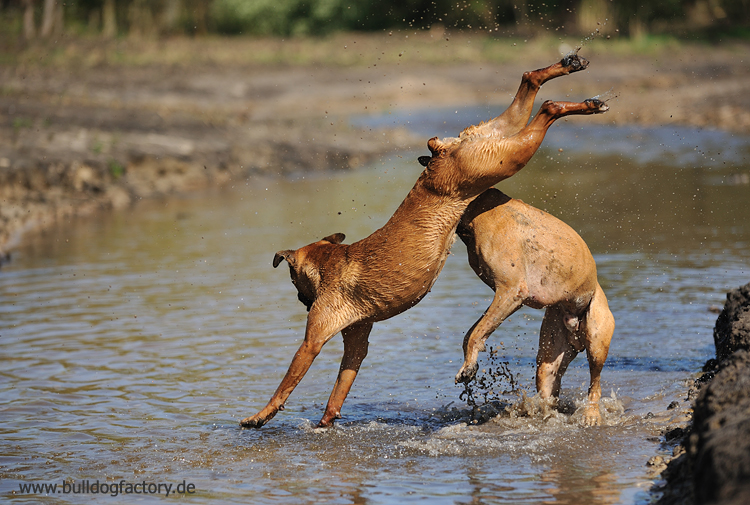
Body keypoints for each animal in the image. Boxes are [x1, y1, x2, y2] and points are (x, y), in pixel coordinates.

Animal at [456, 189, 612, 426]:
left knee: (595, 384)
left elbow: (475, 333)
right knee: (549, 393)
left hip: (596, 342)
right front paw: (469, 365)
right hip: (549, 360)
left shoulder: (510, 292)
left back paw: (591, 415)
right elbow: (472, 333)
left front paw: (468, 368)